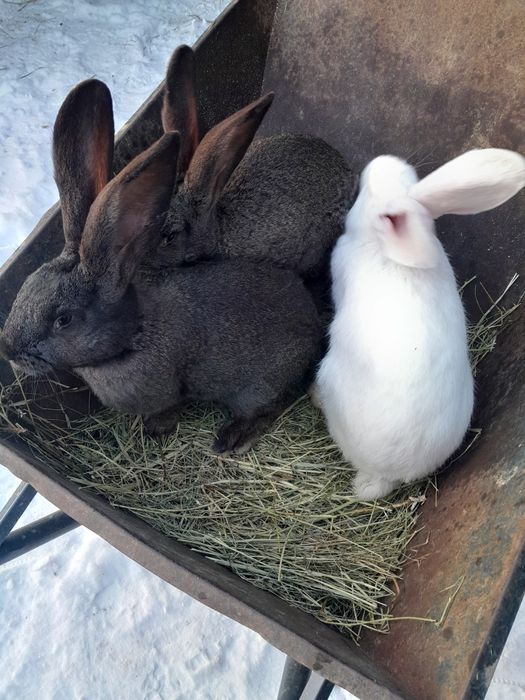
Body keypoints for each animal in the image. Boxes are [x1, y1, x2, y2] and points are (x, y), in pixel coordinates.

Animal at [0, 79, 323, 453]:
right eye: (25, 288)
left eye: (63, 319)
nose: (7, 349)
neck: (132, 334)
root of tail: (314, 326)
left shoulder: (165, 393)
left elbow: (168, 408)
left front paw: (155, 430)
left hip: (257, 388)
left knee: (265, 409)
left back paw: (229, 439)